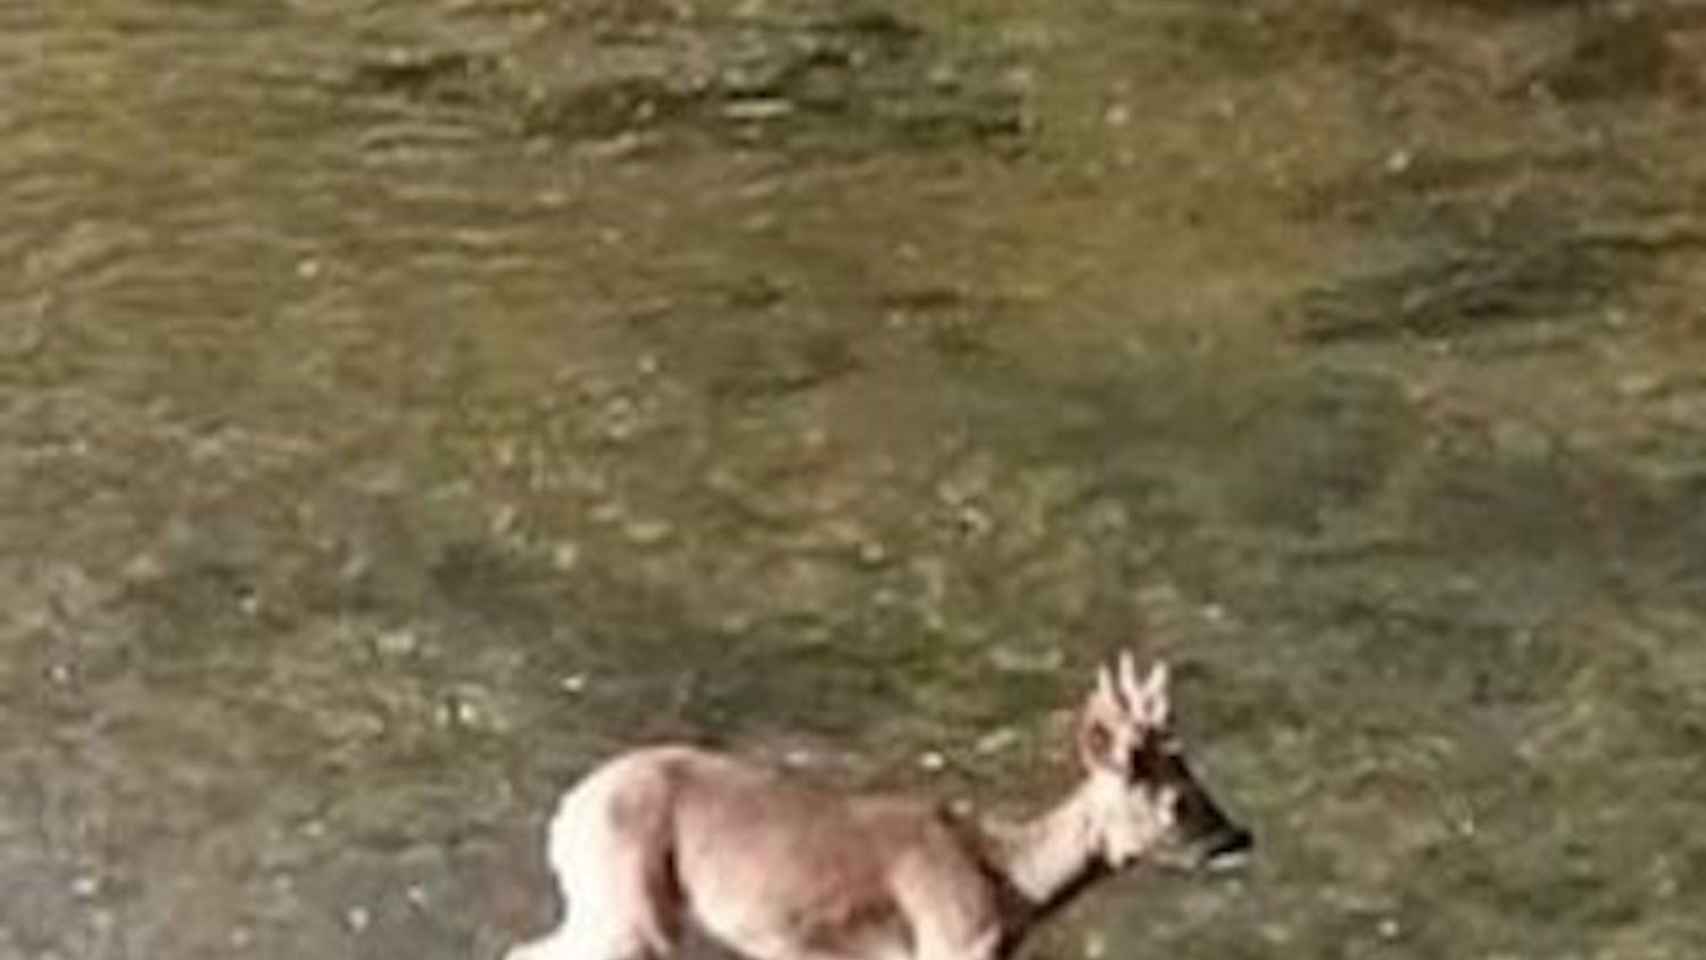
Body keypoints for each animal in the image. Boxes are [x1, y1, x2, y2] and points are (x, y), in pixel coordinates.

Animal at [504, 654, 1255, 960]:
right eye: (1177, 801)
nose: (1239, 836)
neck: (1009, 883)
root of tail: (564, 814)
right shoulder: (946, 945)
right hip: (628, 905)